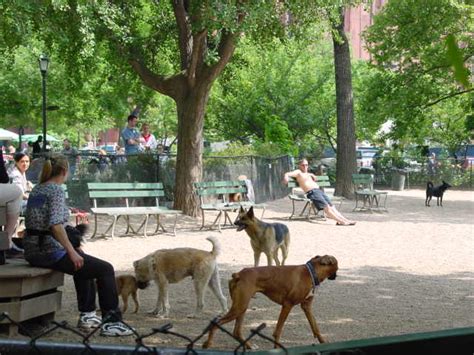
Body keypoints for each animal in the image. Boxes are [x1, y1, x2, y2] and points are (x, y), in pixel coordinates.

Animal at [202, 256, 338, 350]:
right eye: (336, 267)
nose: (336, 276)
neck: (310, 272)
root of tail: (238, 274)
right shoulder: (287, 305)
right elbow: (278, 331)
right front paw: (277, 349)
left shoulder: (306, 307)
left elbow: (315, 327)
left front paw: (324, 344)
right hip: (239, 307)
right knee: (216, 324)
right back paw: (207, 344)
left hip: (241, 307)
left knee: (236, 331)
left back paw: (248, 346)